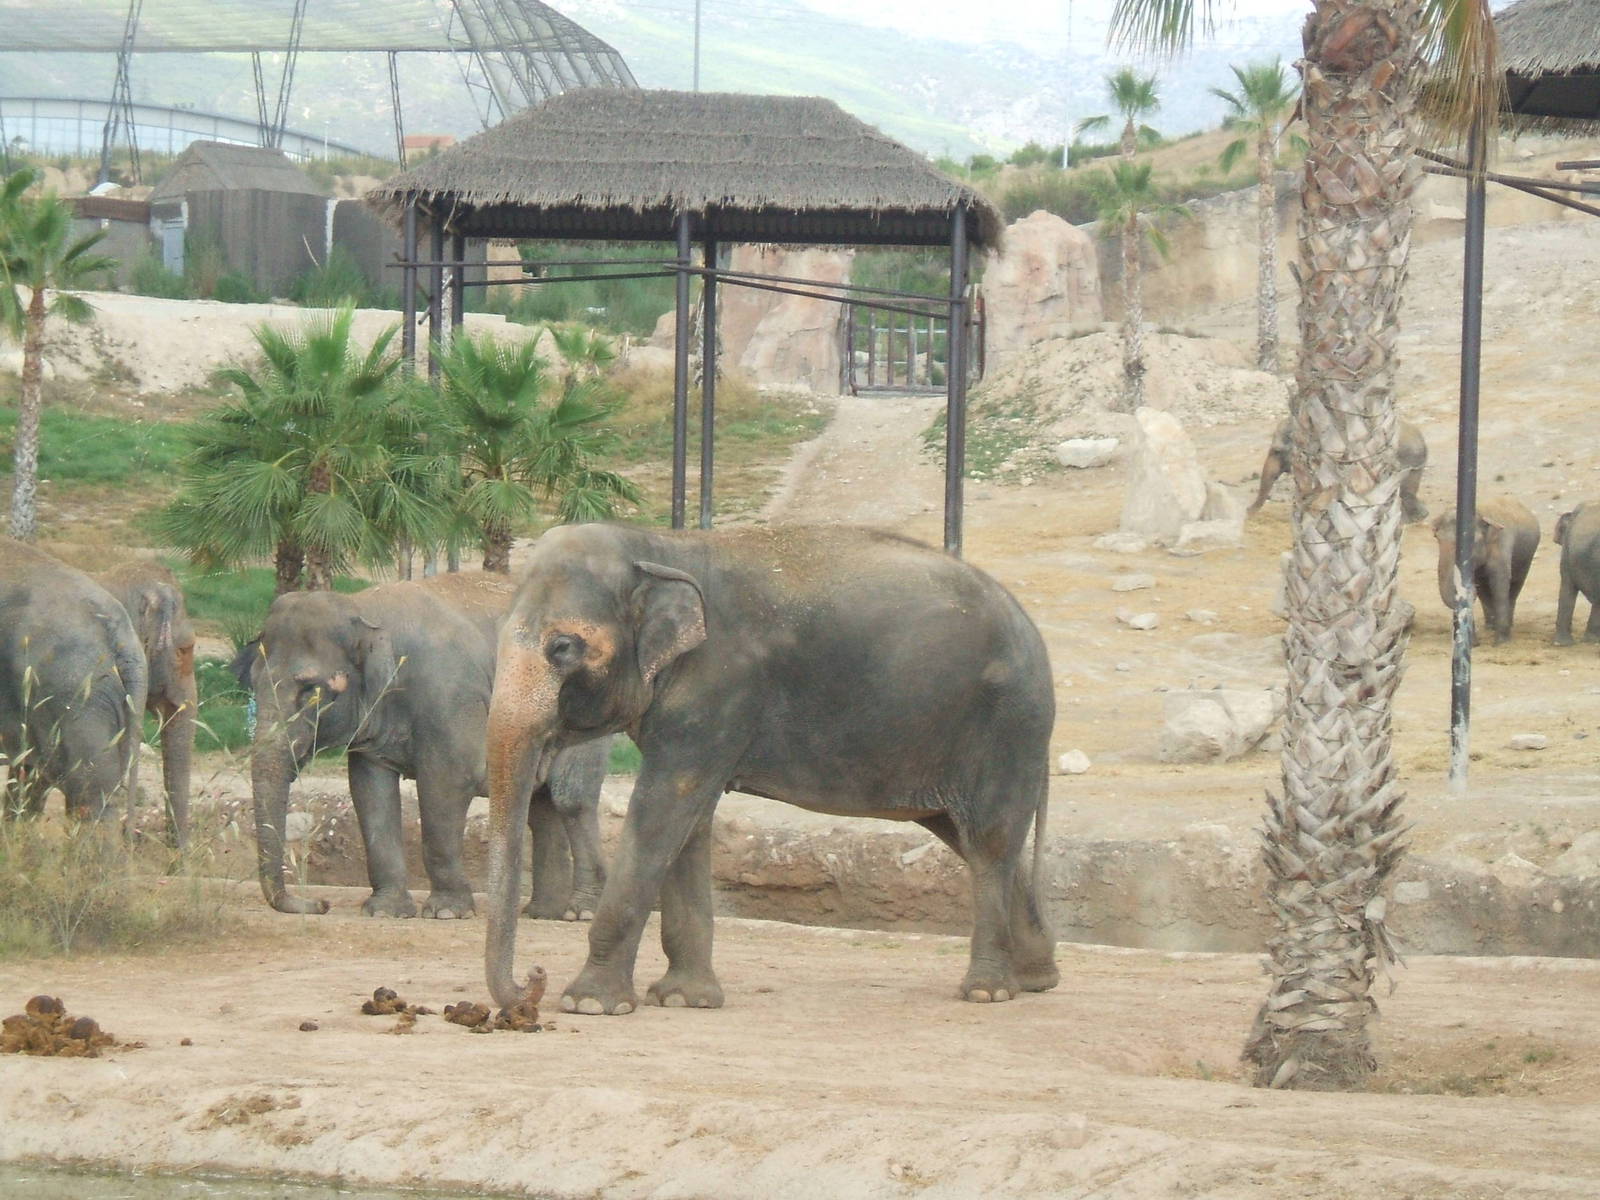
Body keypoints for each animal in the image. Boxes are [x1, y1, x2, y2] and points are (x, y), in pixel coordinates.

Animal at [241, 571, 610, 921]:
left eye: (310, 691)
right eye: (252, 684)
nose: (321, 904)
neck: (364, 607)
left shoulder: (451, 700)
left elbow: (446, 785)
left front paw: (447, 912)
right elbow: (369, 791)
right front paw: (385, 911)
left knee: (570, 801)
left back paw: (580, 912)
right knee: (540, 807)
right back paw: (542, 912)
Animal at [483, 523, 1059, 1017]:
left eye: (563, 648)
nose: (531, 984)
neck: (661, 546)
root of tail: (1029, 625)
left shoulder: (721, 685)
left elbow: (663, 809)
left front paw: (588, 1003)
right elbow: (689, 822)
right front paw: (684, 999)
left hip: (1008, 724)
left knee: (989, 841)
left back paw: (987, 991)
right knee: (970, 838)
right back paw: (1035, 979)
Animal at [1432, 496, 1541, 644]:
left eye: (1471, 542)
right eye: (1437, 538)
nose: (1471, 588)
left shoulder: (1501, 545)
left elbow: (1500, 582)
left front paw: (1501, 642)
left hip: (1527, 555)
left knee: (1515, 585)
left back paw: (1507, 624)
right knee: (1484, 589)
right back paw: (1490, 626)